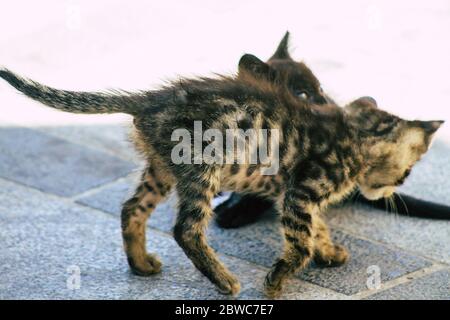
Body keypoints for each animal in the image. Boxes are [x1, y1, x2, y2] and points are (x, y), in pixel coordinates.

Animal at [0, 65, 442, 298]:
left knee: (132, 208)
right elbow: (299, 241)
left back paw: (141, 264)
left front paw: (329, 250)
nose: (397, 187)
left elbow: (317, 226)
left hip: (161, 169)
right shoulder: (300, 191)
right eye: (409, 169)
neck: (352, 135)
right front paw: (278, 280)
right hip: (202, 168)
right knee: (186, 229)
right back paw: (225, 280)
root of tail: (151, 99)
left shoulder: (297, 195)